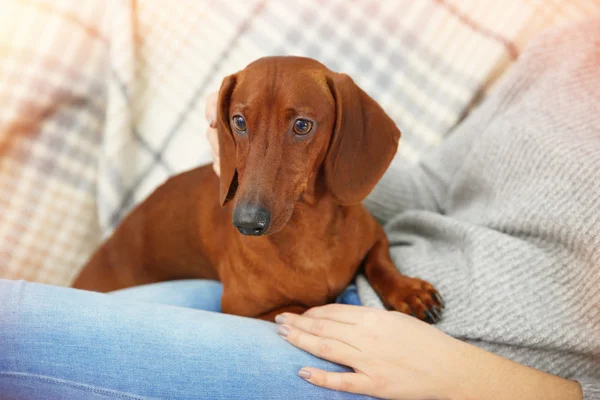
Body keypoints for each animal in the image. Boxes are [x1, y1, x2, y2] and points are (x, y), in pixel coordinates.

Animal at [72, 56, 442, 324]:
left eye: (302, 125)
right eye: (239, 121)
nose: (247, 223)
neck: (309, 231)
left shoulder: (375, 236)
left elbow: (380, 261)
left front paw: (409, 291)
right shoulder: (241, 310)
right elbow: (299, 308)